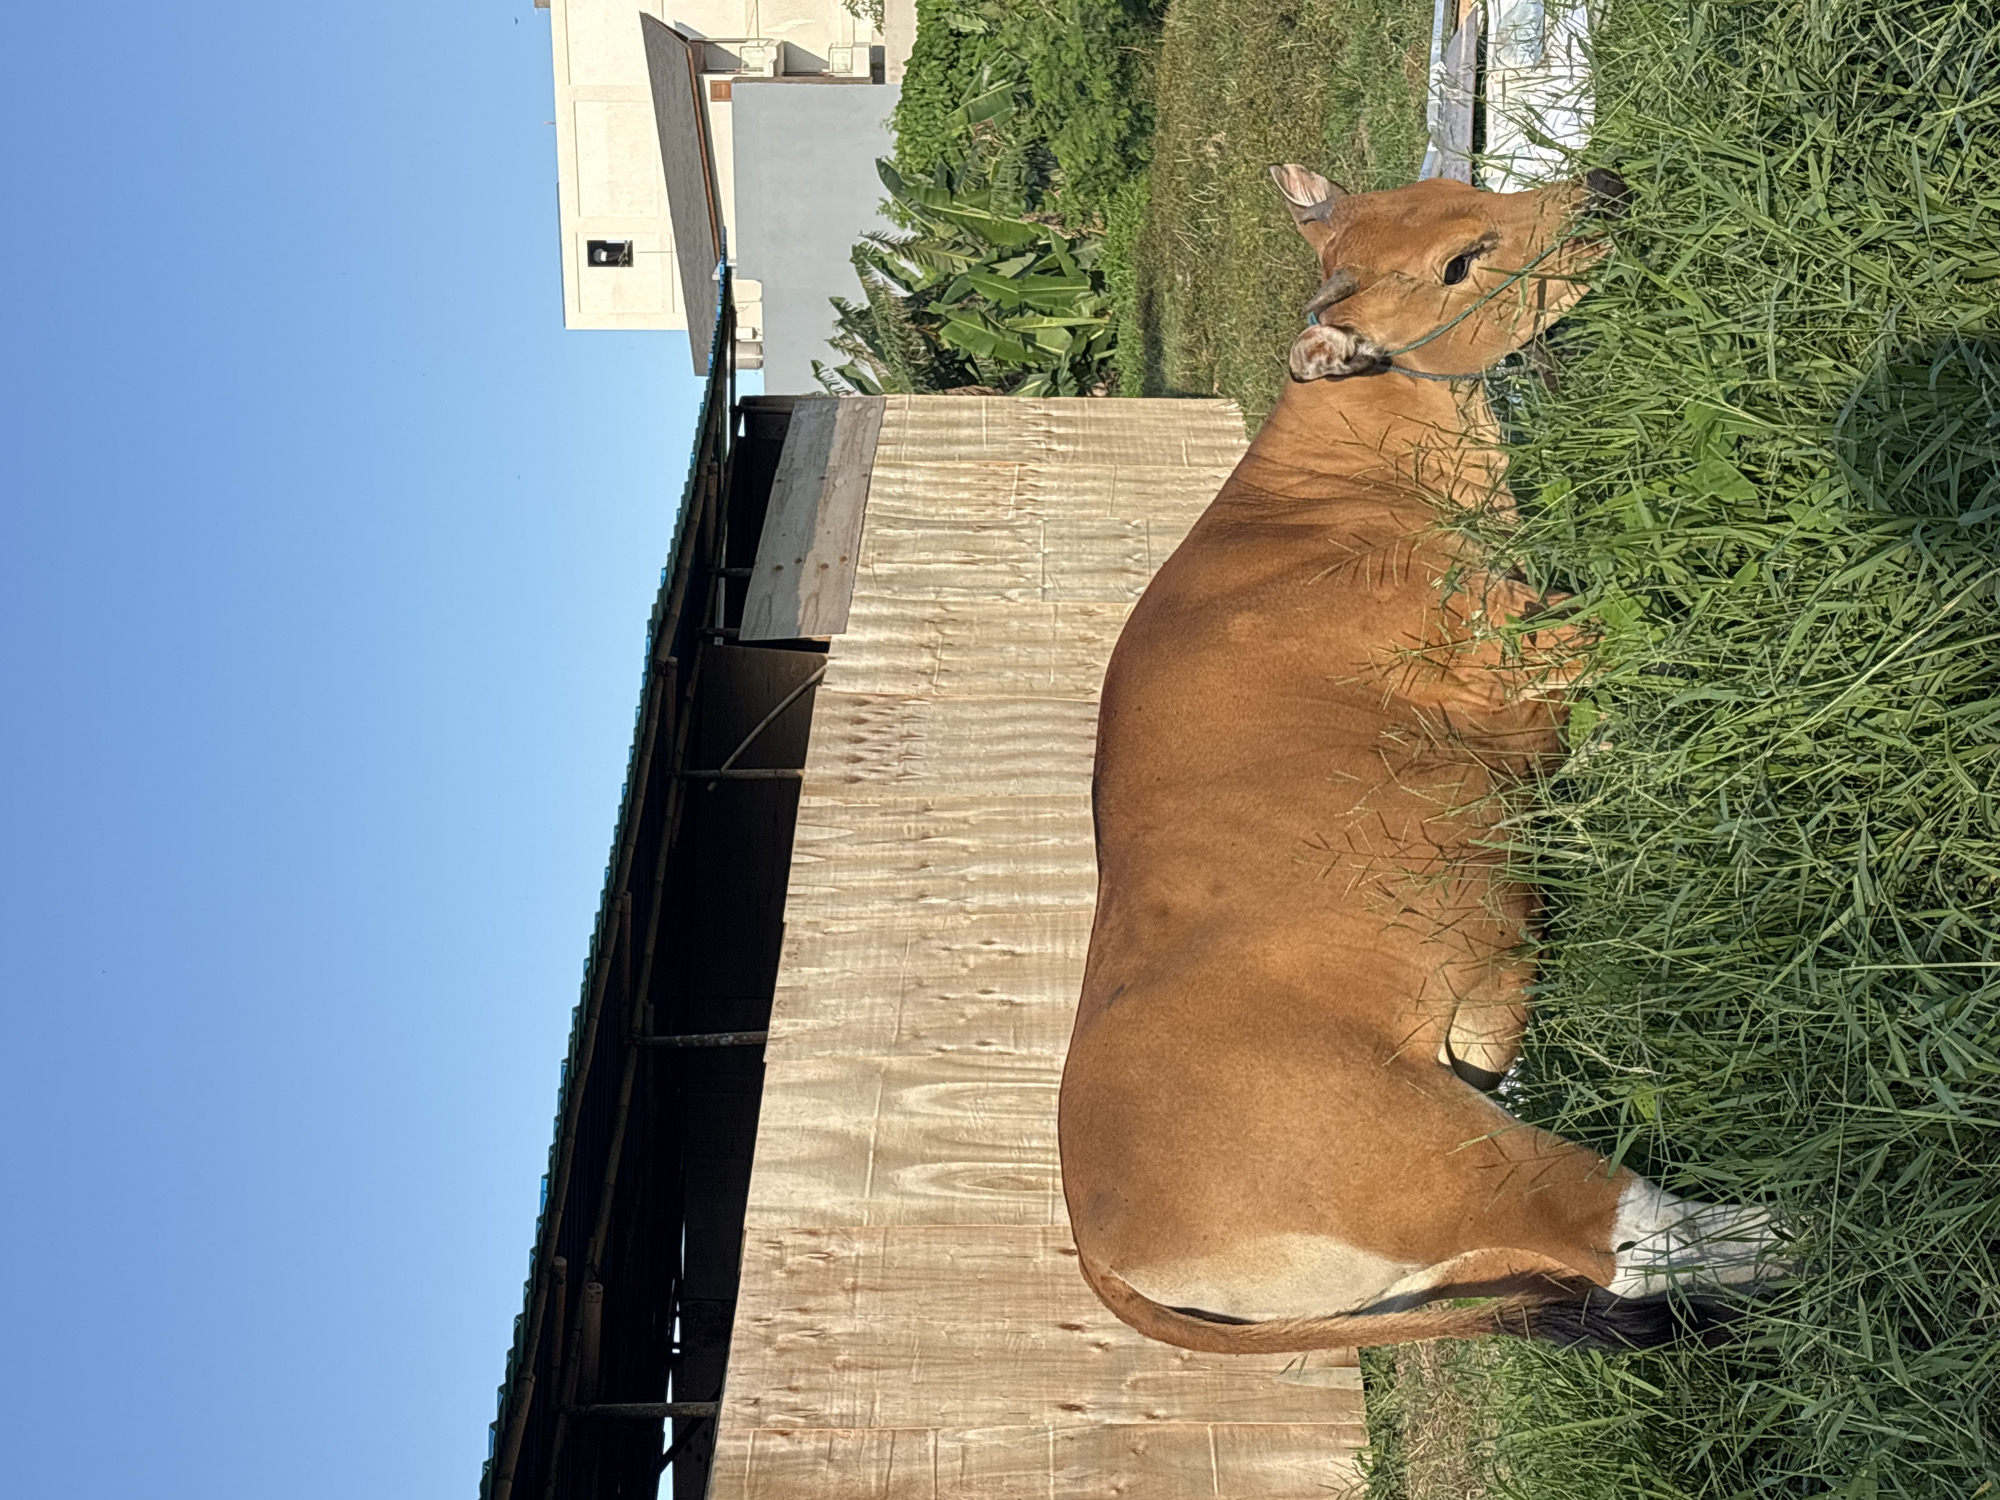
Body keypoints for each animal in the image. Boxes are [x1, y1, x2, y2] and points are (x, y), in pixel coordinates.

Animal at [1058, 167, 1778, 1352]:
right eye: (1455, 264)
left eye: (1458, 188)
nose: (1601, 187)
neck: (1333, 487)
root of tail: (1097, 1247)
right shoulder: (1509, 654)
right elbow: (1647, 609)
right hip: (1434, 1160)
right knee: (1627, 1238)